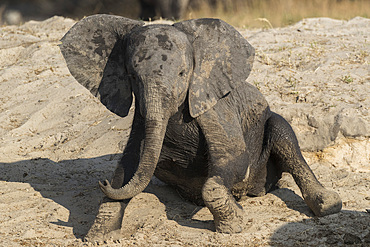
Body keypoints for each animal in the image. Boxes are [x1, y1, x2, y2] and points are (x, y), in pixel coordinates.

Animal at [60, 14, 342, 233]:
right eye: (132, 76)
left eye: (183, 74)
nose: (102, 182)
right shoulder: (141, 114)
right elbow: (129, 165)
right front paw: (99, 235)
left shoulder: (213, 106)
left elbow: (235, 157)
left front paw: (234, 225)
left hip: (271, 127)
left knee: (284, 136)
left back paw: (328, 205)